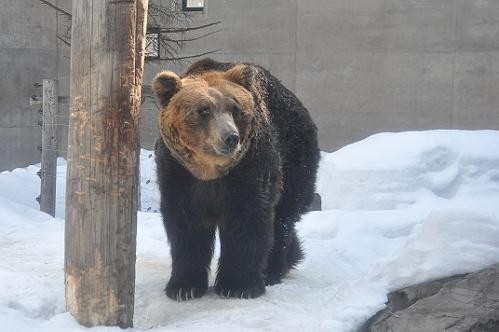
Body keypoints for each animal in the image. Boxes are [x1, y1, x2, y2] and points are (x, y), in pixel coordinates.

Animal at [152, 58, 320, 300]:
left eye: (235, 109)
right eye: (204, 110)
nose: (231, 137)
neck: (210, 172)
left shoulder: (249, 169)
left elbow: (248, 221)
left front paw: (239, 285)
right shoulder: (178, 173)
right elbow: (186, 226)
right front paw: (183, 287)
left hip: (294, 160)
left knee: (283, 218)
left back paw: (273, 269)